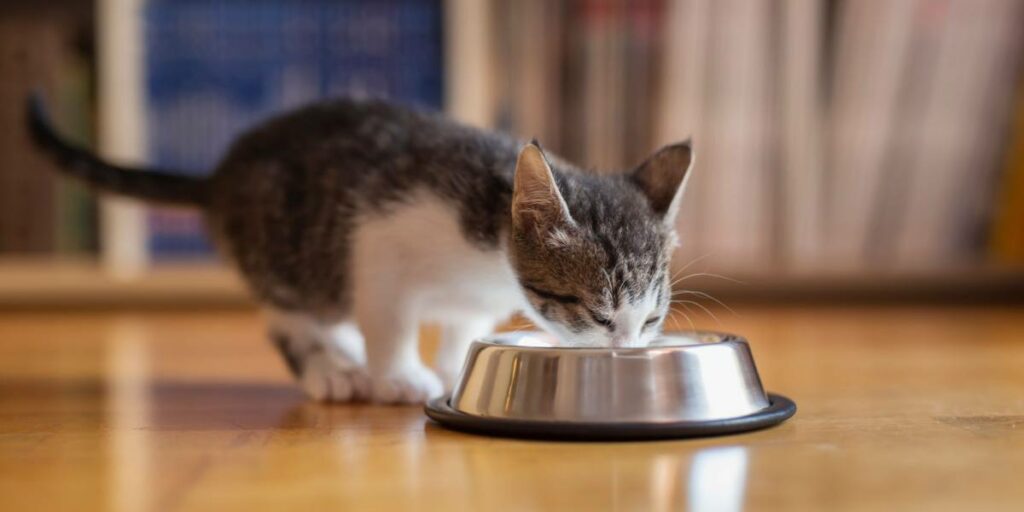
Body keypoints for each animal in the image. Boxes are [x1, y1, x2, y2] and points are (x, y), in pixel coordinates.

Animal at [28, 96, 696, 403]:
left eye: (651, 320)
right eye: (600, 316)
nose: (629, 349)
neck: (486, 249)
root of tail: (218, 176)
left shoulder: (472, 296)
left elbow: (461, 326)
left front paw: (452, 367)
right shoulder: (379, 238)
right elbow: (390, 315)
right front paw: (400, 376)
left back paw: (344, 353)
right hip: (290, 258)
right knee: (290, 317)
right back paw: (330, 369)